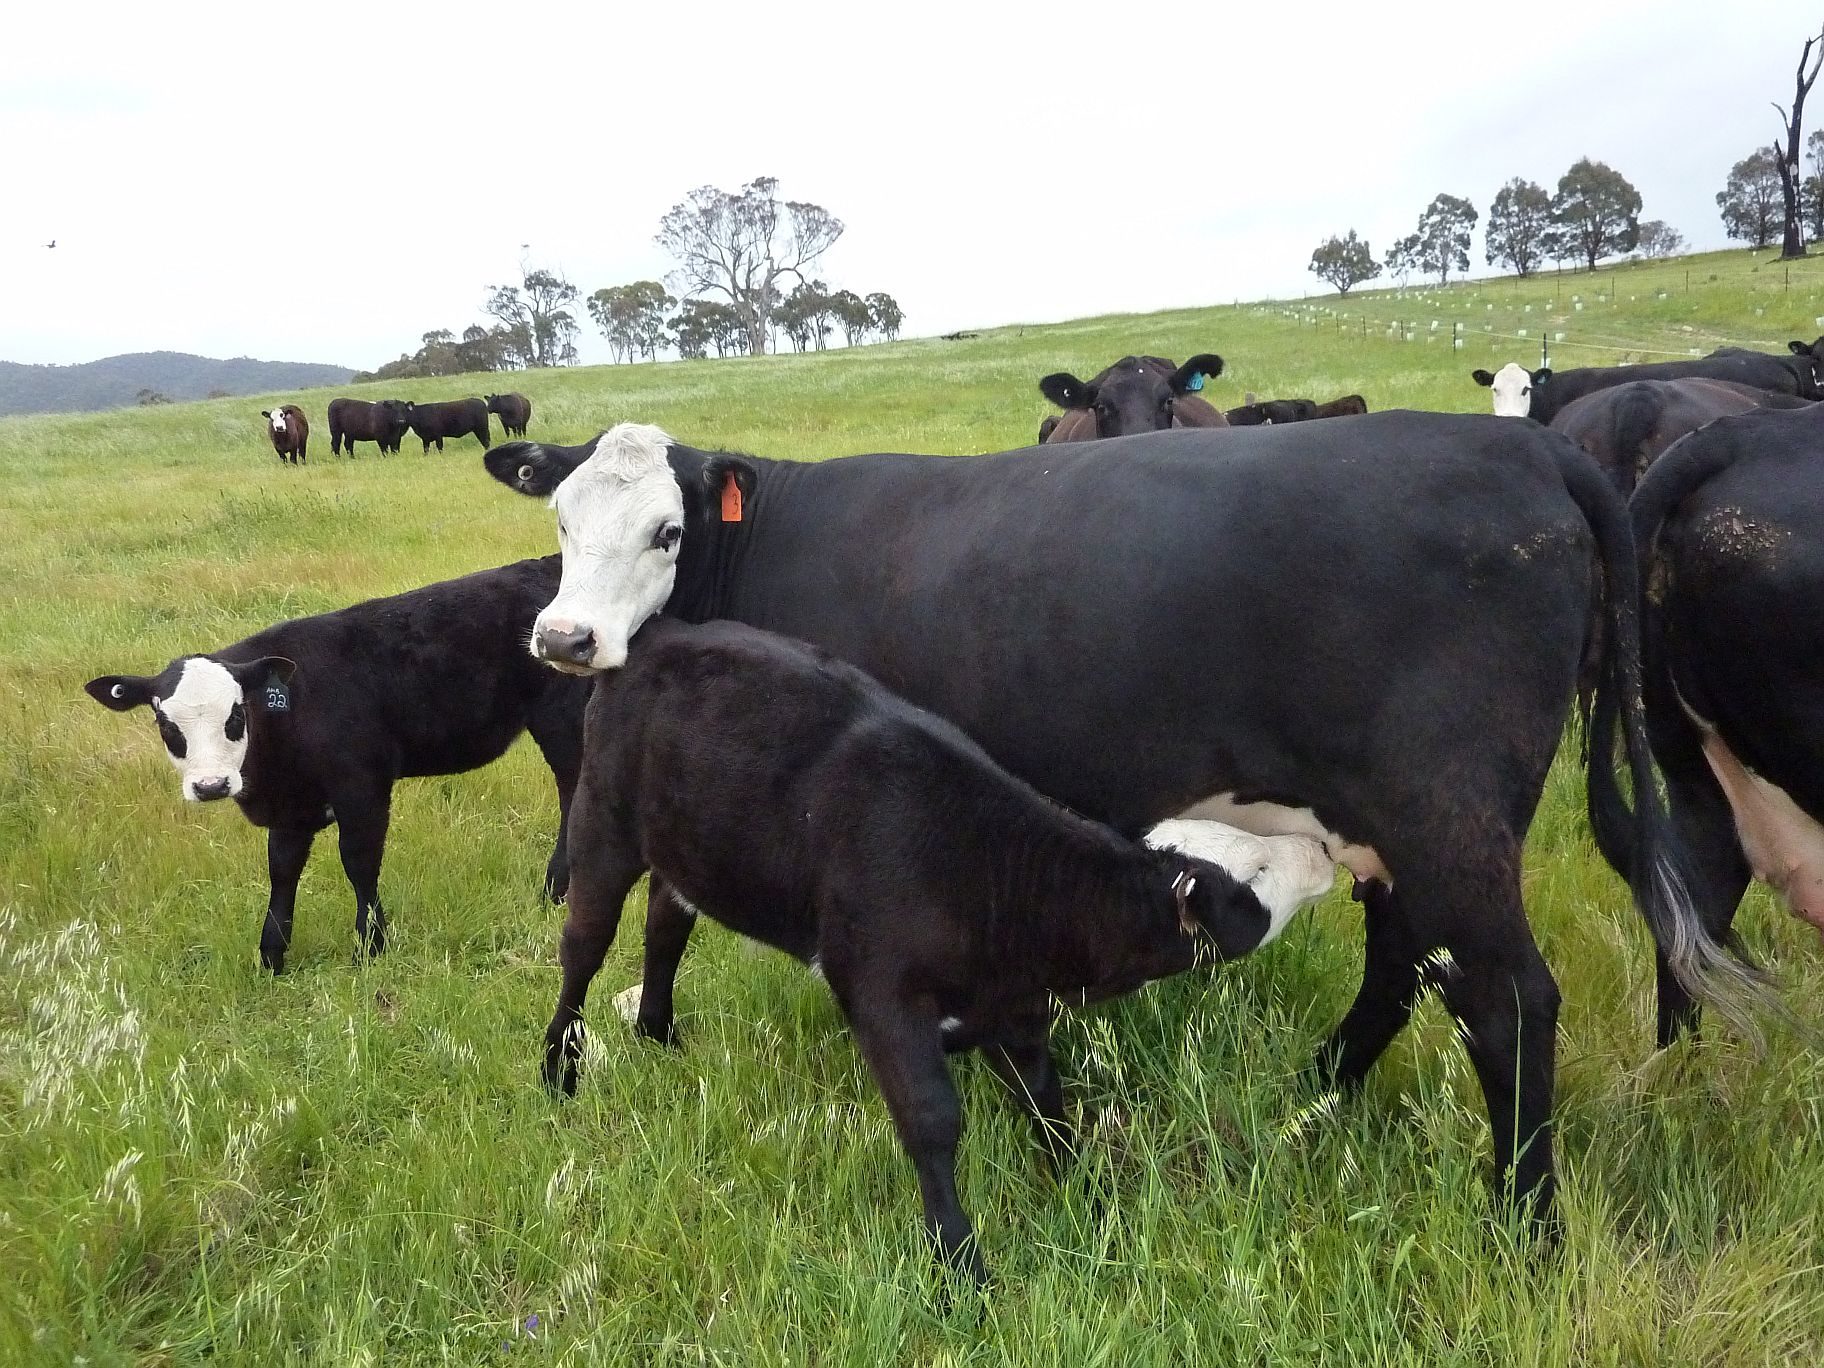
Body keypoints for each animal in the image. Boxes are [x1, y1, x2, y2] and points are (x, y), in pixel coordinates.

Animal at [83, 557, 588, 974]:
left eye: (236, 714)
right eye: (165, 723)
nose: (211, 785)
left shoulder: (362, 786)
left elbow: (359, 862)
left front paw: (371, 946)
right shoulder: (290, 809)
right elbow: (282, 870)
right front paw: (272, 956)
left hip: (563, 721)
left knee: (572, 794)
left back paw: (555, 889)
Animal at [544, 615, 1337, 1285]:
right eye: (1256, 873)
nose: (1324, 854)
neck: (992, 876)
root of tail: (658, 633)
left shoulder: (1014, 1010)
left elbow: (1048, 1104)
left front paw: (1085, 1198)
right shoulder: (881, 994)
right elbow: (931, 1120)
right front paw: (959, 1262)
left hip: (687, 851)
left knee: (665, 929)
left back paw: (656, 1031)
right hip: (602, 827)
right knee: (583, 948)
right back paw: (560, 1069)